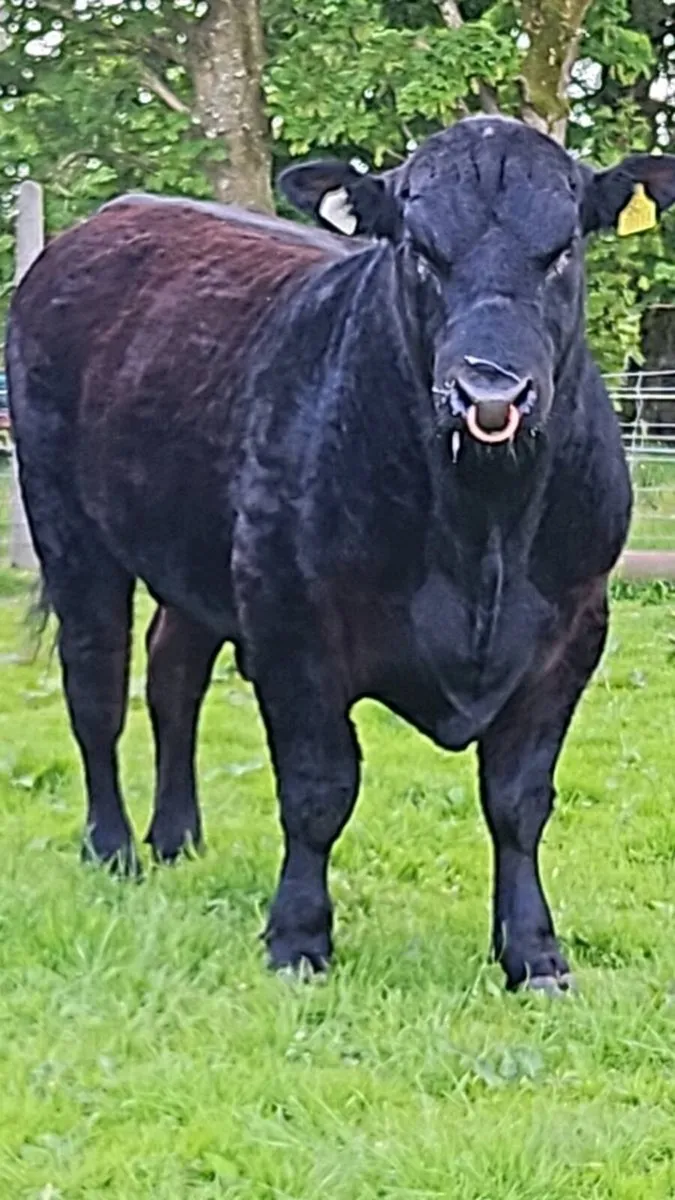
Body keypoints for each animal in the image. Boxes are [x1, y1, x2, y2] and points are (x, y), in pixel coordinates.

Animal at [7, 117, 675, 992]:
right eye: (418, 250)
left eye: (562, 249)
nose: (489, 393)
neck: (481, 526)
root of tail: (104, 222)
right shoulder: (292, 624)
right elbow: (318, 789)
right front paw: (297, 939)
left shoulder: (571, 631)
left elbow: (518, 799)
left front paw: (533, 955)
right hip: (69, 526)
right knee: (96, 688)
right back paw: (113, 847)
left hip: (199, 562)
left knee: (172, 676)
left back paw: (176, 837)